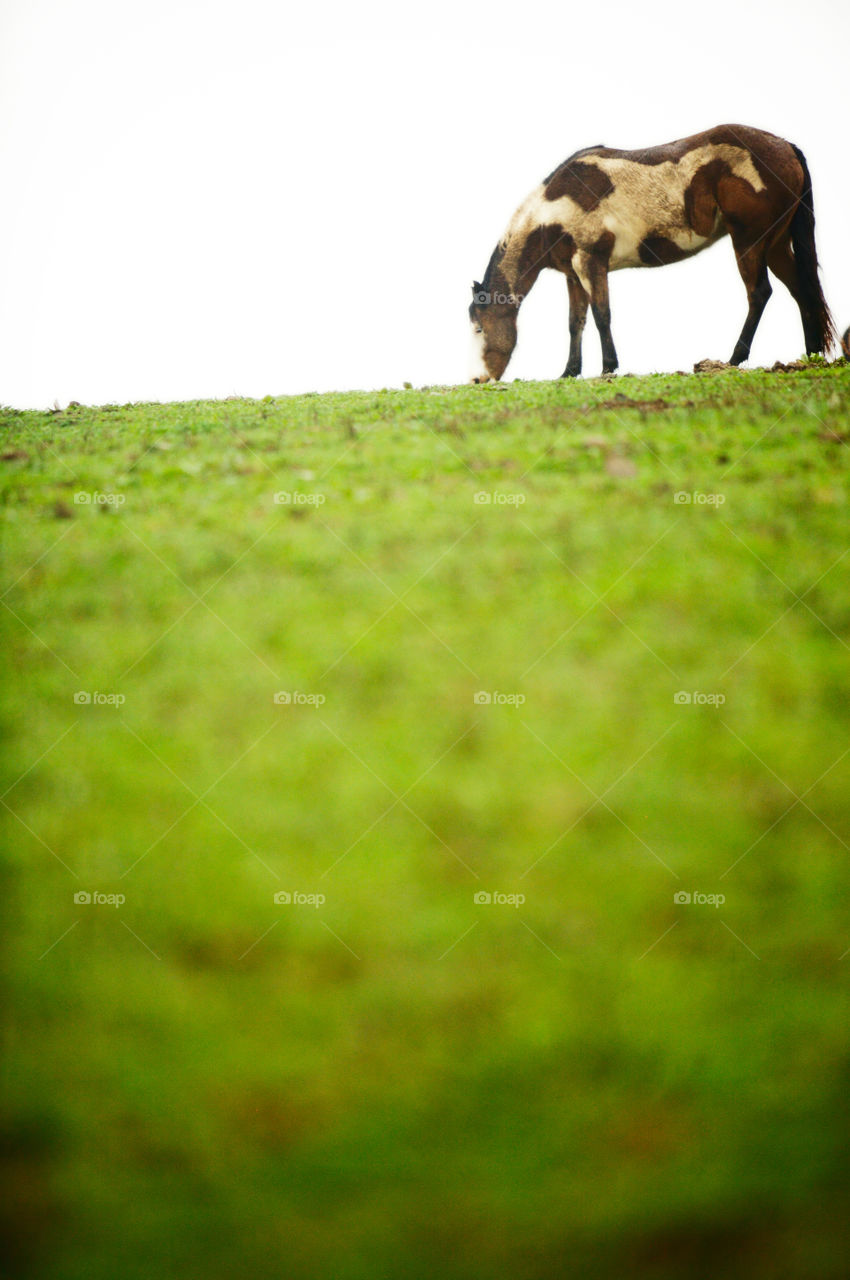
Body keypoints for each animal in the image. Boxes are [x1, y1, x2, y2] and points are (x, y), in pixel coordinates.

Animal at [469, 124, 836, 382]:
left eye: (478, 329)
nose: (477, 379)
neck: (556, 207)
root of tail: (785, 146)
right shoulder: (574, 274)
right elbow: (576, 323)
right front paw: (570, 371)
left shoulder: (591, 262)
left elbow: (602, 315)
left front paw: (609, 367)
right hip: (775, 245)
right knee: (801, 290)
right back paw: (811, 355)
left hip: (749, 241)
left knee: (759, 293)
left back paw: (733, 359)